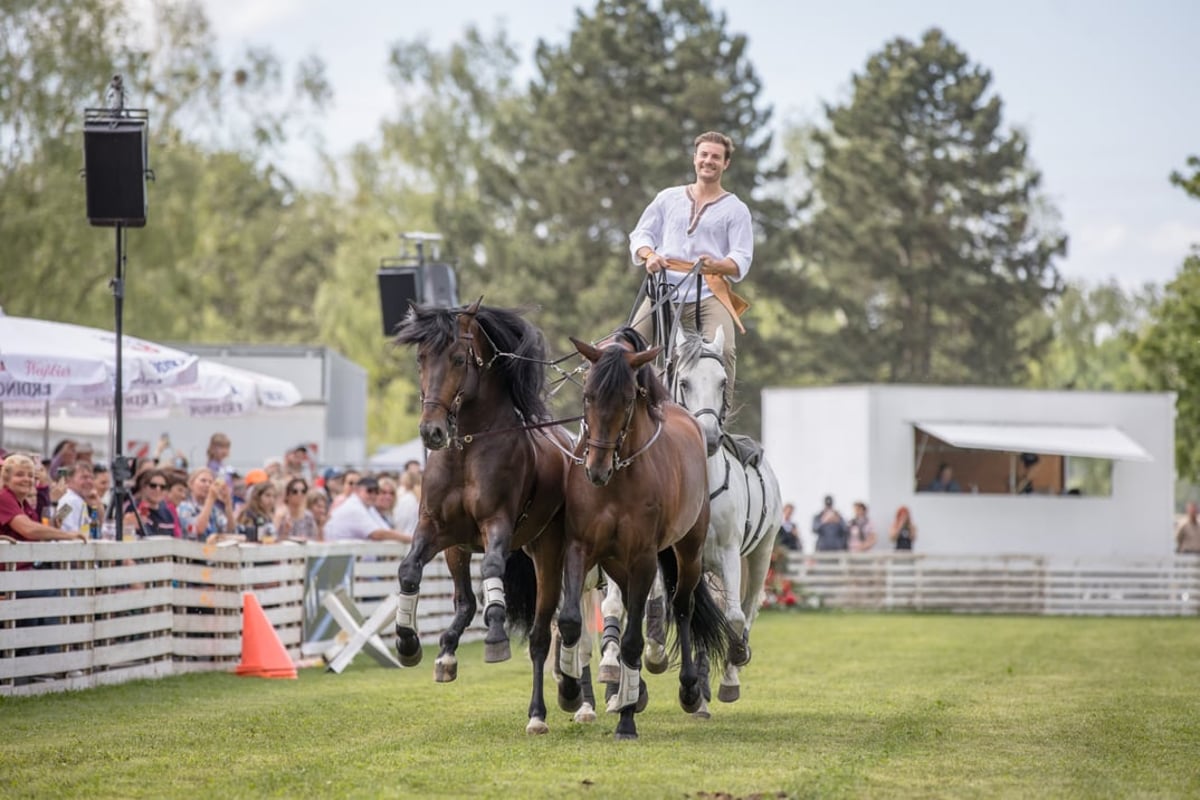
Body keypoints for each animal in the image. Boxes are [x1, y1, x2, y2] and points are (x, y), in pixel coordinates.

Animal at [391, 299, 574, 735]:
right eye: (422, 358)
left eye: (459, 358)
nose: (431, 432)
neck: (468, 448)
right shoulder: (438, 530)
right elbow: (410, 570)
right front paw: (408, 641)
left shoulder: (498, 525)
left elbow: (492, 568)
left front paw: (494, 637)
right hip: (459, 549)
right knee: (465, 602)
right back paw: (446, 652)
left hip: (547, 551)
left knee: (542, 636)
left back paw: (540, 712)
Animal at [555, 327, 732, 740]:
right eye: (587, 395)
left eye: (625, 399)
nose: (596, 468)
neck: (619, 478)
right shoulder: (580, 547)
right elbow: (572, 620)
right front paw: (571, 691)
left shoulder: (643, 560)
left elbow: (634, 641)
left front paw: (626, 719)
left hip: (688, 550)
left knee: (683, 606)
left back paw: (688, 689)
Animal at [671, 326, 784, 712]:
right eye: (684, 382)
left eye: (722, 382)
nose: (708, 437)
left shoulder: (730, 554)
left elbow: (733, 617)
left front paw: (735, 657)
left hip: (761, 554)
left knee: (747, 610)